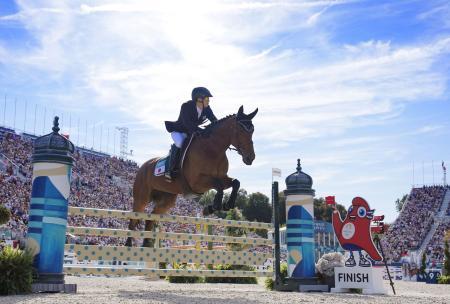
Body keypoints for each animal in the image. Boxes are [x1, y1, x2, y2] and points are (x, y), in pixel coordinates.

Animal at [125, 105, 256, 247]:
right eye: (241, 130)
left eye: (252, 131)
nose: (250, 158)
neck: (213, 149)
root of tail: (142, 166)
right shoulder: (197, 182)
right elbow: (219, 186)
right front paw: (212, 207)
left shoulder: (222, 177)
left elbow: (235, 182)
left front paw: (226, 205)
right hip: (142, 197)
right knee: (134, 218)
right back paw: (129, 245)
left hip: (167, 200)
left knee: (151, 218)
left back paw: (146, 245)